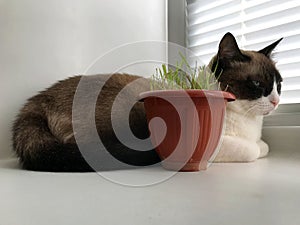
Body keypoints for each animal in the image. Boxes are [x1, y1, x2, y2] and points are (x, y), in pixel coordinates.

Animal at [12, 32, 284, 171]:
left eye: (278, 84)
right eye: (257, 84)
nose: (276, 102)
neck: (250, 124)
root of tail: (37, 100)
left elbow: (264, 147)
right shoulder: (218, 144)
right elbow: (253, 150)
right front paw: (255, 148)